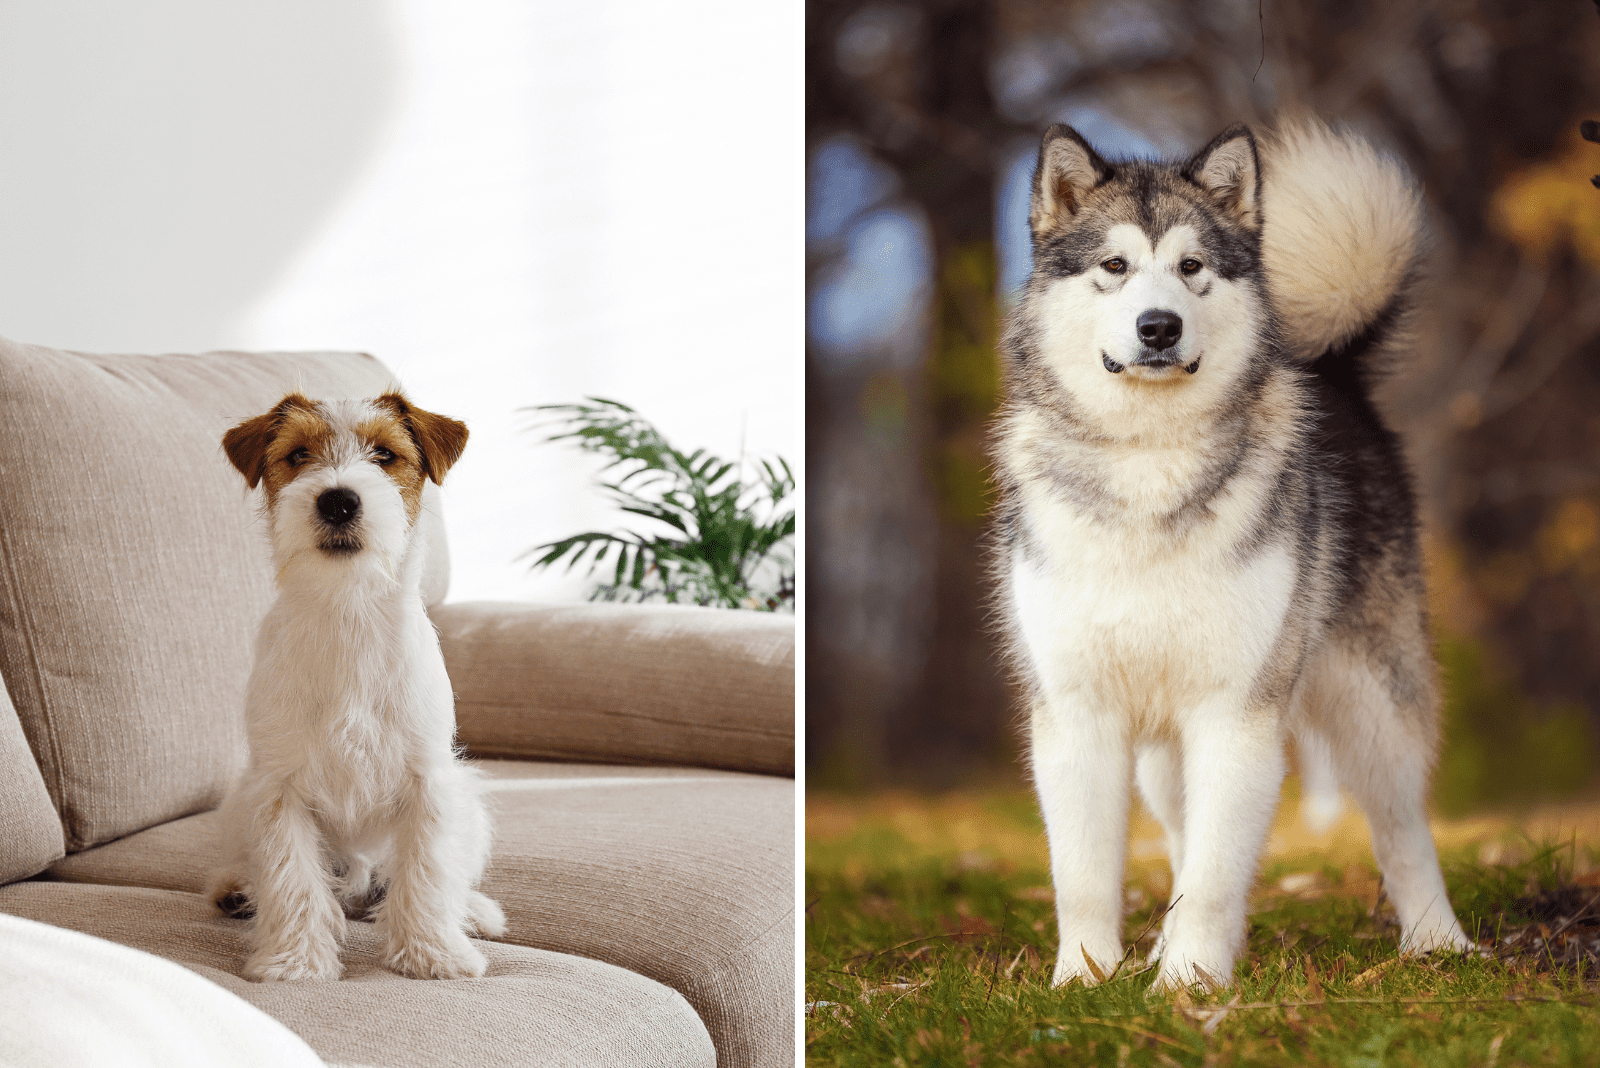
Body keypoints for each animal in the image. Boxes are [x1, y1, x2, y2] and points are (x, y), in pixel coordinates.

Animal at [206, 388, 505, 978]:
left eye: (385, 455)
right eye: (298, 454)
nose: (339, 501)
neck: (348, 610)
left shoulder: (428, 782)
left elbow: (427, 872)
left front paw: (431, 954)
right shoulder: (278, 789)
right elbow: (292, 878)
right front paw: (296, 961)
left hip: (467, 802)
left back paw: (474, 914)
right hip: (238, 805)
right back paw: (237, 890)